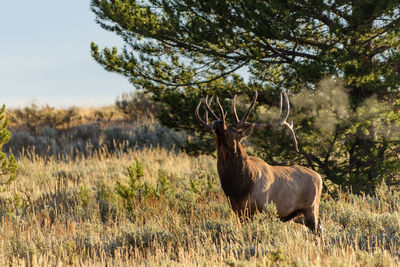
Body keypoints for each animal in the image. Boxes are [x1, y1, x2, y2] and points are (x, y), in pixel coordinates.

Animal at [195, 91, 324, 234]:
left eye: (233, 130)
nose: (217, 121)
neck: (239, 188)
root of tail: (320, 177)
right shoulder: (238, 210)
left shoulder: (261, 208)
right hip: (300, 215)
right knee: (320, 225)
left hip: (312, 207)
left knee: (318, 229)